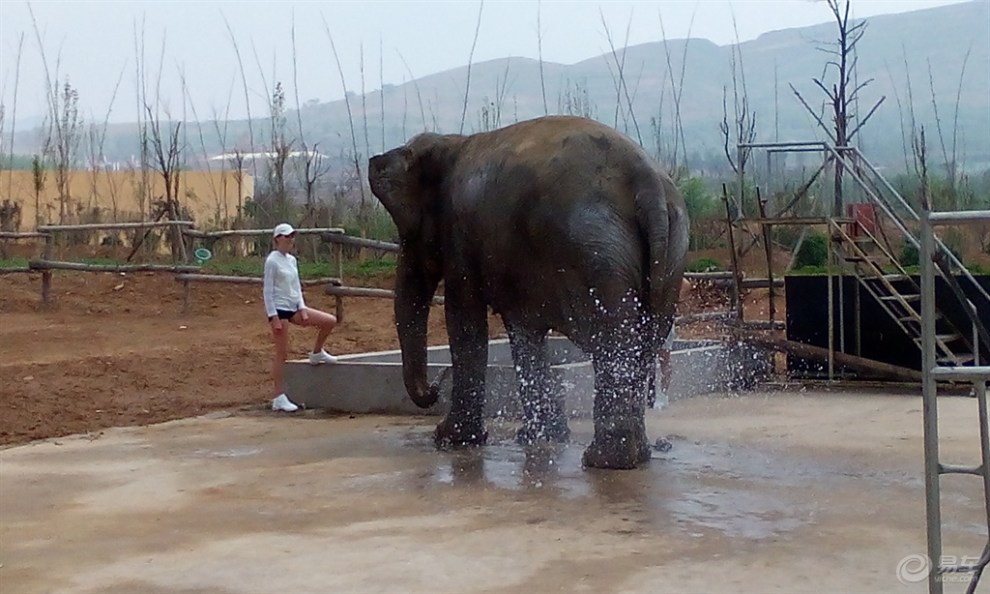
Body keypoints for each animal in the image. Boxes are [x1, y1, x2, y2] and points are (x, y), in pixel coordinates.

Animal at [366, 114, 688, 468]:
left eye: (408, 235)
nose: (435, 388)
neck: (451, 142)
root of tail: (649, 184)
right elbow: (523, 328)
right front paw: (540, 437)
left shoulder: (461, 231)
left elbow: (465, 319)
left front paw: (452, 440)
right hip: (670, 254)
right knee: (643, 340)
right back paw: (633, 457)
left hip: (598, 252)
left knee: (612, 338)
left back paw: (605, 461)